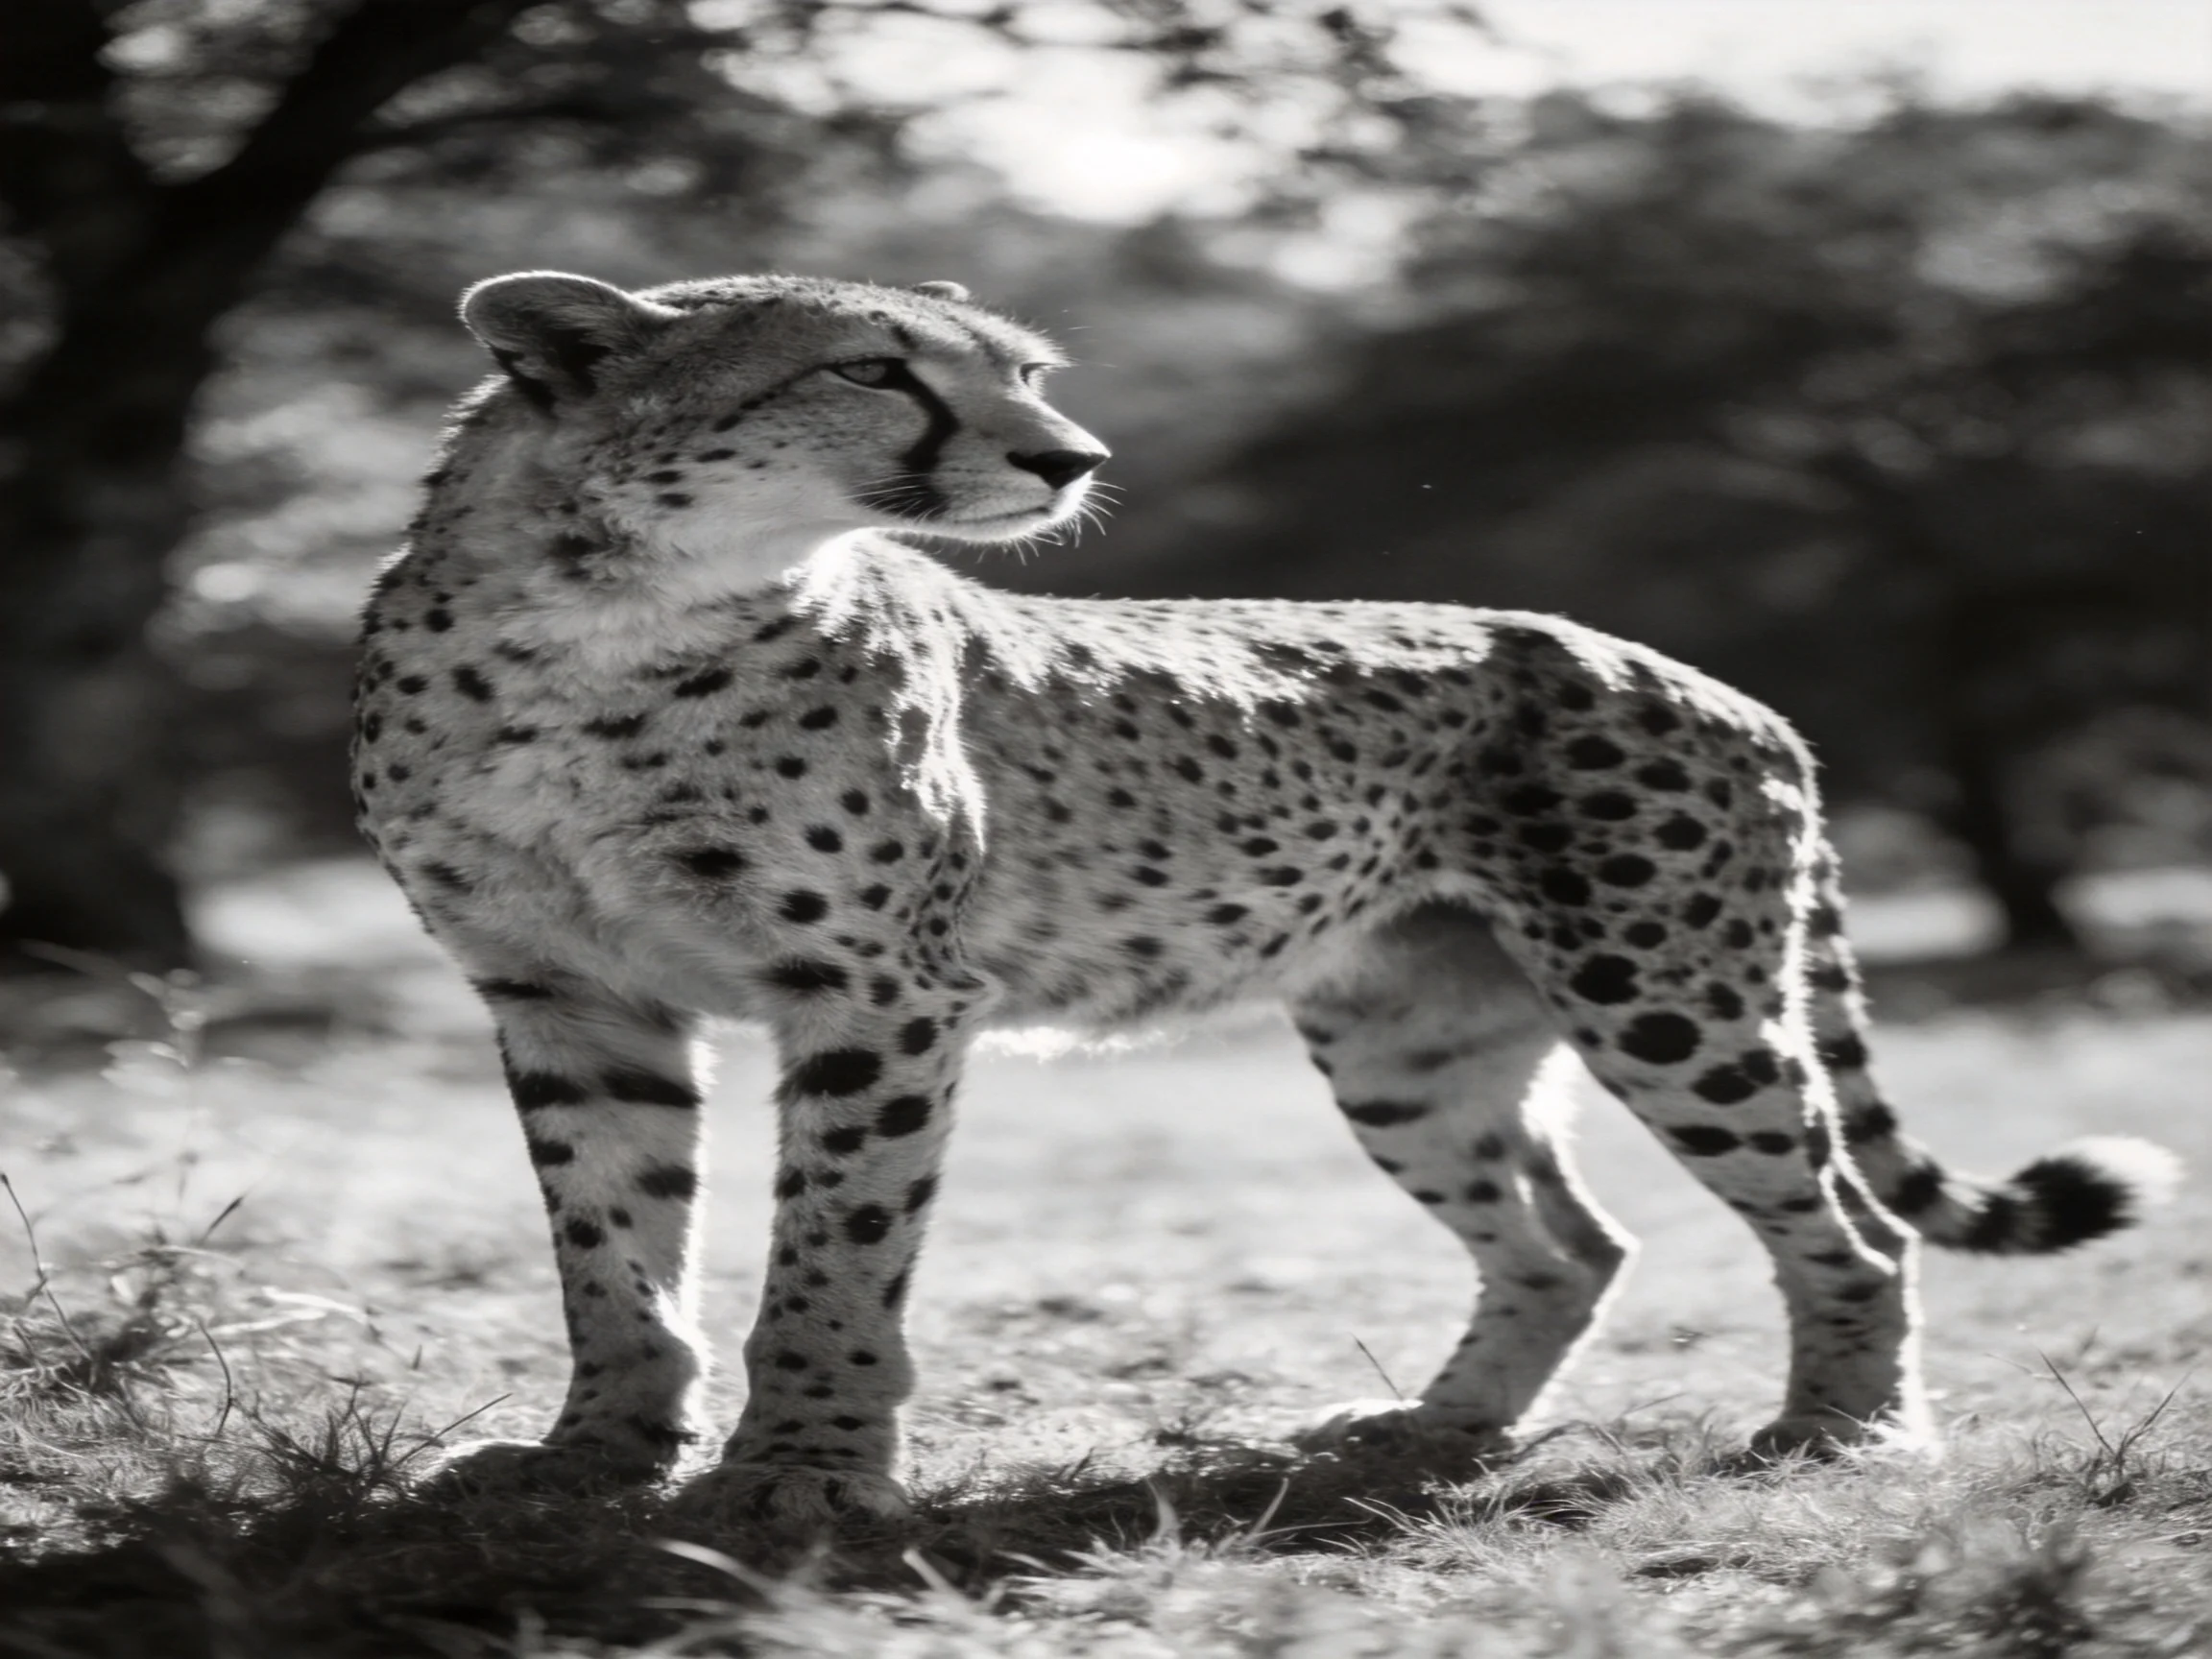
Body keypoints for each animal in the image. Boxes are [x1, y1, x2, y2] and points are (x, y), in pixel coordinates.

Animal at [352, 269, 2176, 1528]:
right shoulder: (564, 994)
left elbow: (833, 1247)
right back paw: (1434, 1429)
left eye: (1024, 374)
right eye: (868, 368)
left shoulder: (876, 994)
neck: (603, 623)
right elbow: (610, 1245)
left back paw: (1839, 1429)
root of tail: (1713, 679)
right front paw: (598, 1452)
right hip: (1406, 1039)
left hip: (1666, 996)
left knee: (1850, 1223)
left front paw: (804, 1464)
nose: (1069, 457)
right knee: (1567, 1239)